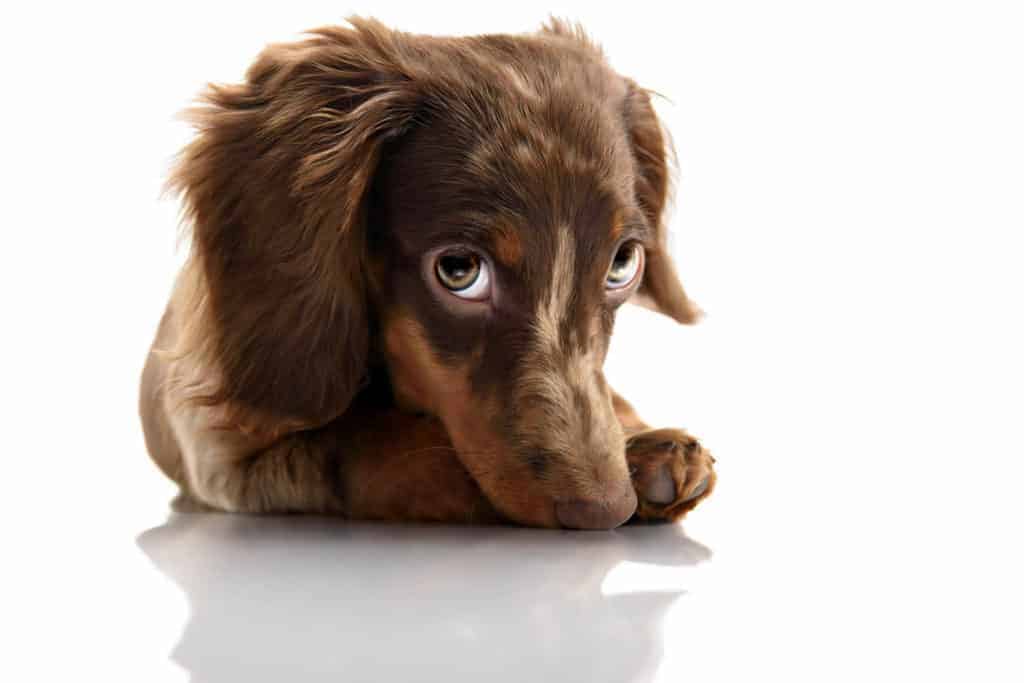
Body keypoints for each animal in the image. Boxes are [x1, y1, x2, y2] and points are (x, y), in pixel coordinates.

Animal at [140, 14, 716, 528]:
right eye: (460, 270)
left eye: (622, 263)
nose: (605, 508)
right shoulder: (226, 452)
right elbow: (390, 449)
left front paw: (646, 448)